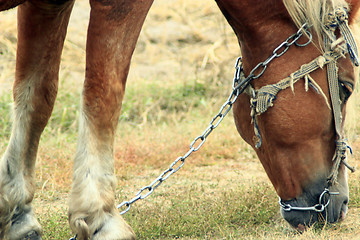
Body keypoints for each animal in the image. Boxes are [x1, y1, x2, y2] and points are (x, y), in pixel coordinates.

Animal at [0, 0, 358, 239]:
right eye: (345, 87)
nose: (340, 204)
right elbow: (104, 95)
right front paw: (100, 216)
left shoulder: (47, 3)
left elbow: (37, 94)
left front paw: (19, 214)